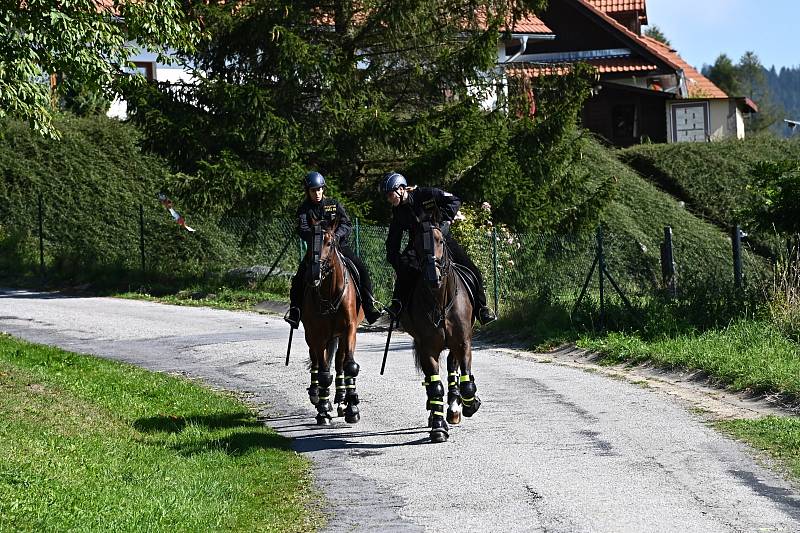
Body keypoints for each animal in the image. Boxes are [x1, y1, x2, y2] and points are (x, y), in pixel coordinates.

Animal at [302, 217, 364, 424]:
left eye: (330, 243)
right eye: (309, 239)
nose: (313, 275)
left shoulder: (349, 330)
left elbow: (349, 366)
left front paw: (352, 407)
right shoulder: (317, 335)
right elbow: (323, 373)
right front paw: (322, 410)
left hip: (339, 335)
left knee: (339, 362)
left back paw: (341, 398)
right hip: (313, 337)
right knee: (318, 363)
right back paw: (318, 396)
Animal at [396, 216, 478, 440]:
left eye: (441, 240)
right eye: (416, 244)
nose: (434, 277)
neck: (440, 301)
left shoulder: (463, 343)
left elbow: (466, 384)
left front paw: (470, 405)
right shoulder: (428, 349)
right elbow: (435, 386)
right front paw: (438, 427)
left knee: (452, 367)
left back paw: (455, 408)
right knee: (431, 381)